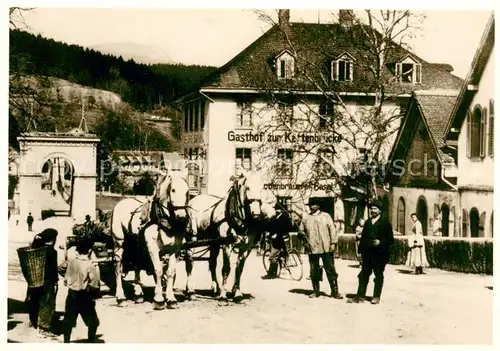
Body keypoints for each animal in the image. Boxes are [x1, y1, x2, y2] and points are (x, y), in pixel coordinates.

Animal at [109, 172, 189, 310]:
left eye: (187, 191)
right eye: (173, 190)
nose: (182, 217)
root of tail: (121, 202)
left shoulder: (175, 249)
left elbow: (170, 272)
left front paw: (171, 299)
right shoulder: (152, 247)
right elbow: (158, 270)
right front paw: (159, 299)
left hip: (137, 245)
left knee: (136, 264)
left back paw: (138, 294)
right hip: (119, 242)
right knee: (118, 267)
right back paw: (120, 297)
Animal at [186, 173, 264, 302]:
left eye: (263, 188)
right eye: (248, 188)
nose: (257, 215)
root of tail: (192, 201)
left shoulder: (245, 248)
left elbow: (239, 269)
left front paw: (237, 293)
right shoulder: (227, 245)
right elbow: (226, 268)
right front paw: (224, 294)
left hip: (214, 243)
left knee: (212, 263)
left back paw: (215, 288)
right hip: (192, 237)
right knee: (189, 261)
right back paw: (190, 291)